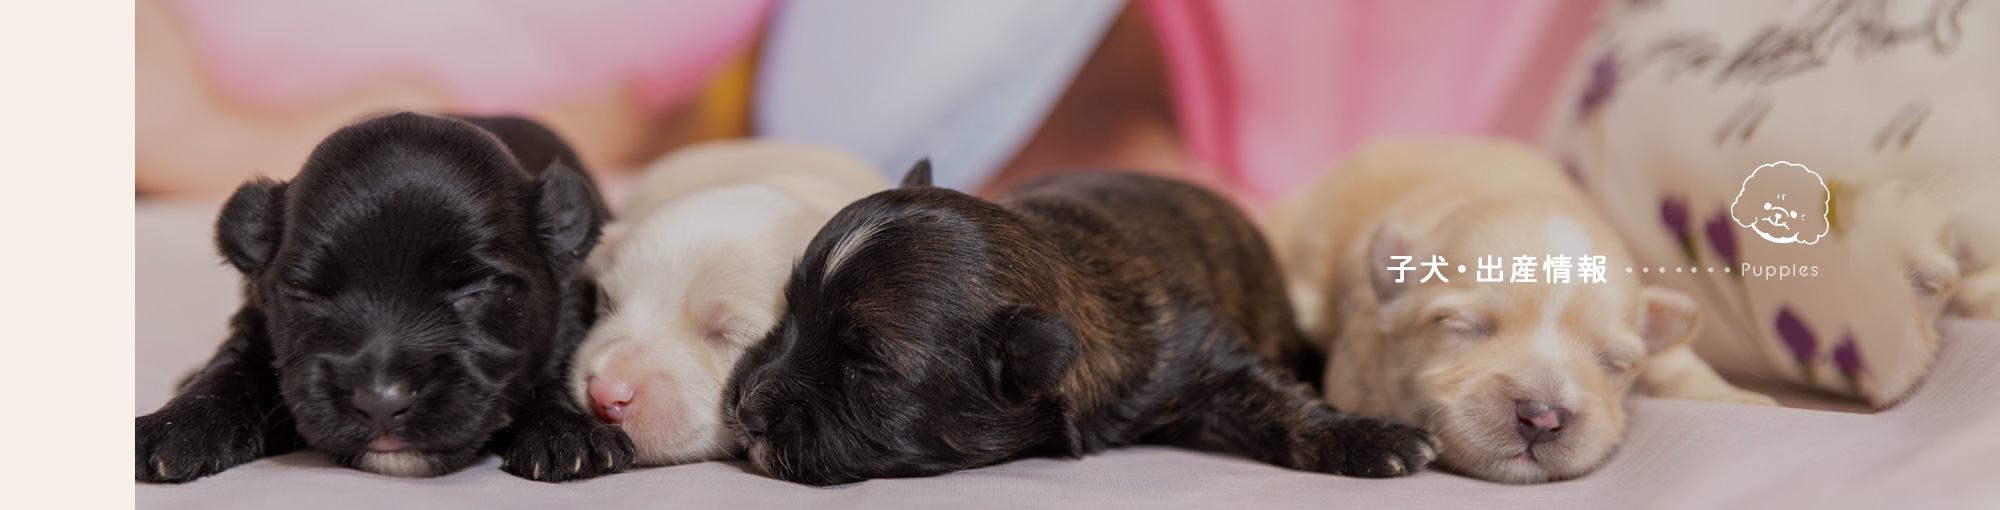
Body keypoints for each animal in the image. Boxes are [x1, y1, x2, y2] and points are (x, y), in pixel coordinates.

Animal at [136, 111, 632, 482]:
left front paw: (567, 430)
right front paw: (178, 423)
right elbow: (230, 366)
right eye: (307, 294)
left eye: (475, 288)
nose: (380, 402)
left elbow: (556, 365)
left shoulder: (570, 305)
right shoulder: (256, 320)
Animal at [728, 163, 1448, 486]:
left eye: (866, 364)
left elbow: (1281, 405)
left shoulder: (1202, 356)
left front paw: (1369, 437)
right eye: (787, 313)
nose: (747, 410)